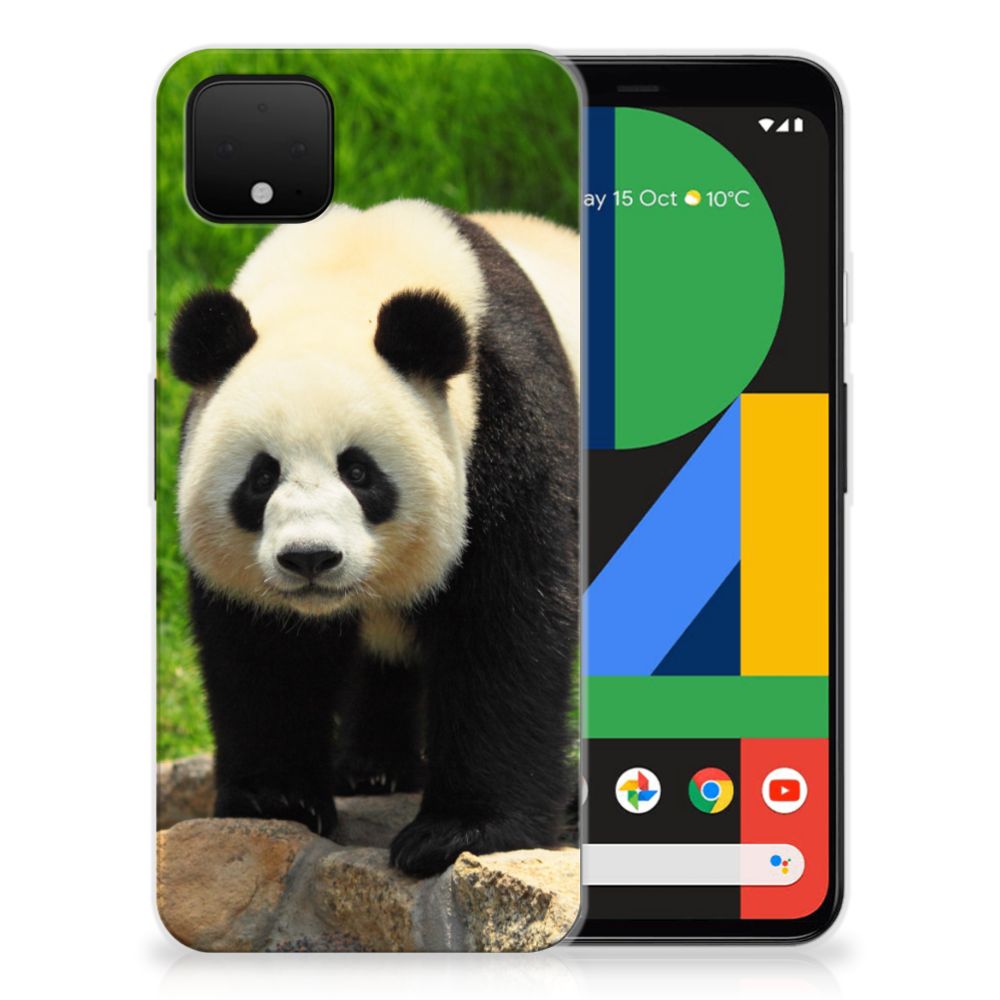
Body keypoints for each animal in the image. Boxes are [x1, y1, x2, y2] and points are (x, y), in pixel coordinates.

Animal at [168, 199, 579, 876]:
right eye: (261, 476)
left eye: (359, 472)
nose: (310, 558)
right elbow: (263, 648)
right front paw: (277, 799)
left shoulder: (509, 418)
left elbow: (506, 621)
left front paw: (458, 832)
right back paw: (372, 768)